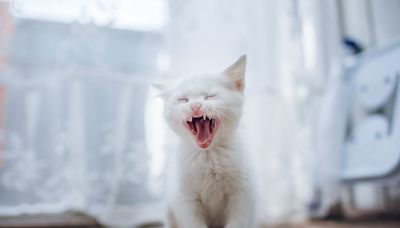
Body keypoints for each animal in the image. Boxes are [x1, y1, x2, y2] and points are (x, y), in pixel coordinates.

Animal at [159, 55, 253, 228]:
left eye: (210, 96)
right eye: (183, 99)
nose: (195, 106)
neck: (209, 157)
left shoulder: (242, 196)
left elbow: (237, 222)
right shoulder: (186, 200)